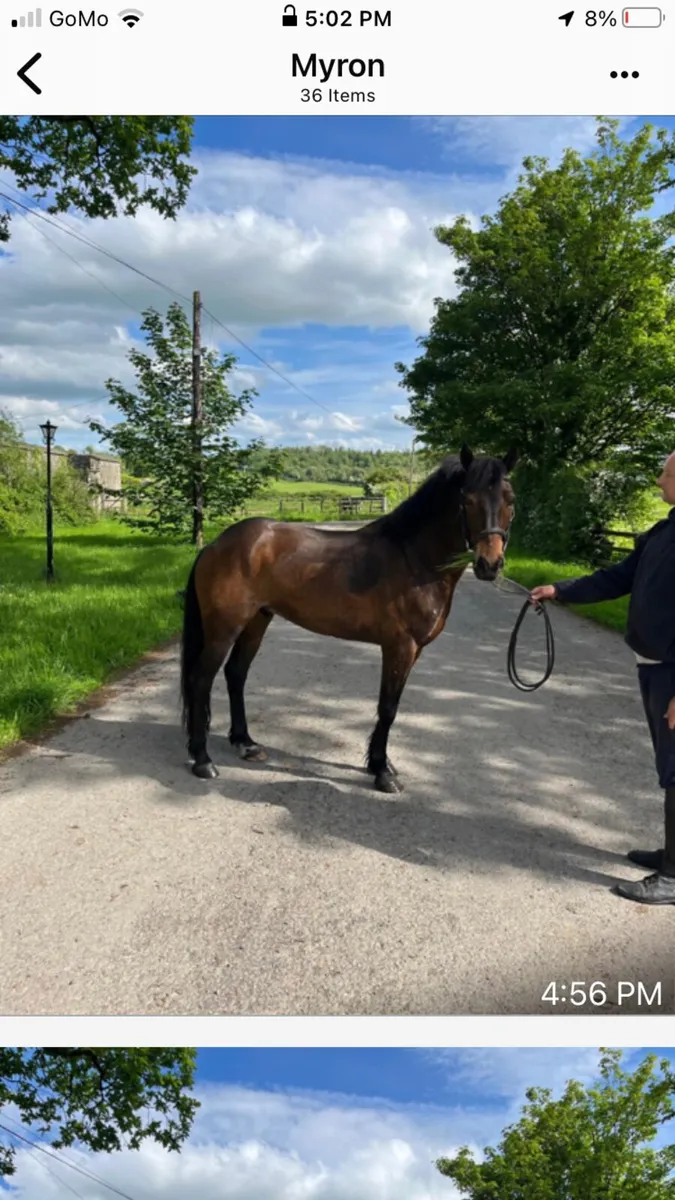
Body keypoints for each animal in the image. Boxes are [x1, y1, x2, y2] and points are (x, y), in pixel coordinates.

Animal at [180, 444, 517, 793]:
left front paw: (383, 764)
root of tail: (215, 545)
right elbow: (388, 707)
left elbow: (392, 704)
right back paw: (202, 760)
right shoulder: (400, 646)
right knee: (201, 679)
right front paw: (382, 772)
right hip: (224, 628)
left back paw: (245, 743)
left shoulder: (414, 650)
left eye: (510, 499)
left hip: (256, 622)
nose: (489, 564)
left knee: (235, 674)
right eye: (467, 499)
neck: (414, 559)